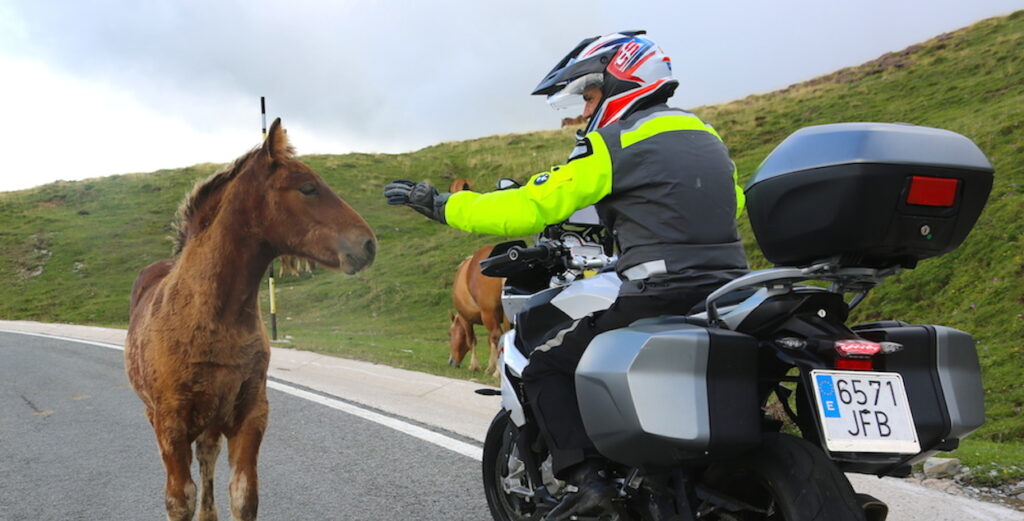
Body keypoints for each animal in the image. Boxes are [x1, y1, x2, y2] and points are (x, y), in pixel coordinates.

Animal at [125, 118, 376, 519]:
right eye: (308, 187)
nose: (367, 245)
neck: (213, 317)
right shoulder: (170, 423)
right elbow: (179, 499)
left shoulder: (251, 415)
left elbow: (243, 495)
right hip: (159, 415)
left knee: (208, 456)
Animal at [452, 245, 507, 376]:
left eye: (450, 333)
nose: (451, 362)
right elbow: (490, 340)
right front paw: (490, 366)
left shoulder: (465, 319)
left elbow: (471, 341)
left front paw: (474, 365)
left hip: (487, 314)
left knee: (498, 336)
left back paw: (498, 372)